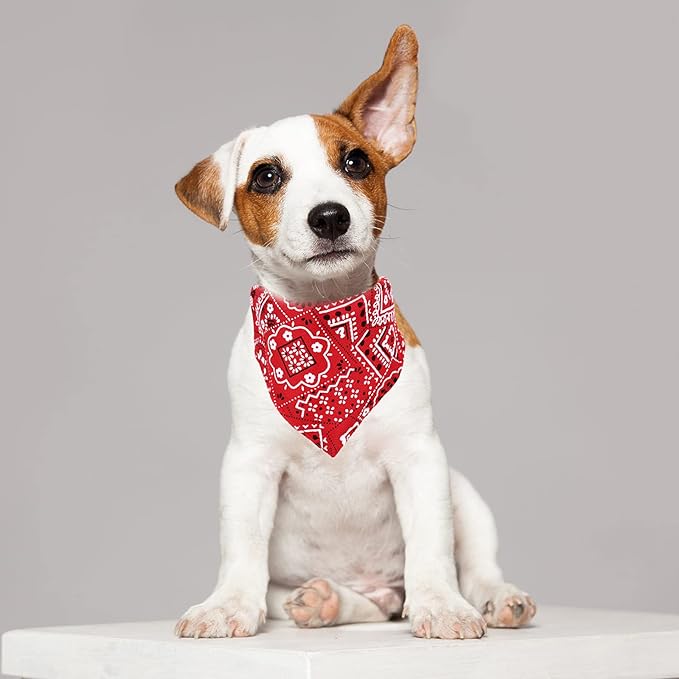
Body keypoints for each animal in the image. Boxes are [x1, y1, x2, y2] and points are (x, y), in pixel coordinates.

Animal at [174, 25, 536, 644]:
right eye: (266, 176)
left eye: (356, 161)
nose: (329, 216)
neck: (324, 320)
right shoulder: (249, 463)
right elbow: (241, 546)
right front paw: (226, 605)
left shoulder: (420, 457)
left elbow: (432, 548)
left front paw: (441, 605)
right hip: (299, 587)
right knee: (356, 603)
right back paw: (326, 602)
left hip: (464, 492)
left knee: (476, 565)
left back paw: (497, 599)